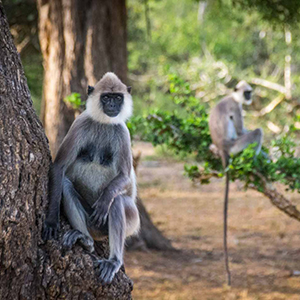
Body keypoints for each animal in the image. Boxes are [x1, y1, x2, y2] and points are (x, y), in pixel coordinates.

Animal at [42, 72, 141, 284]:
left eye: (117, 98)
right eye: (106, 97)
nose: (112, 105)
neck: (103, 123)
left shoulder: (123, 132)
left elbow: (124, 177)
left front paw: (105, 199)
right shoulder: (80, 123)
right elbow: (59, 167)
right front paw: (52, 221)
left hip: (131, 221)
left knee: (118, 201)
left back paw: (114, 261)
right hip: (92, 223)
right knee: (65, 184)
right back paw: (85, 239)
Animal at [209, 80, 262, 286]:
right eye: (246, 93)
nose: (249, 97)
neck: (232, 96)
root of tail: (223, 147)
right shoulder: (236, 107)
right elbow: (241, 130)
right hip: (235, 145)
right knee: (257, 132)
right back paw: (254, 161)